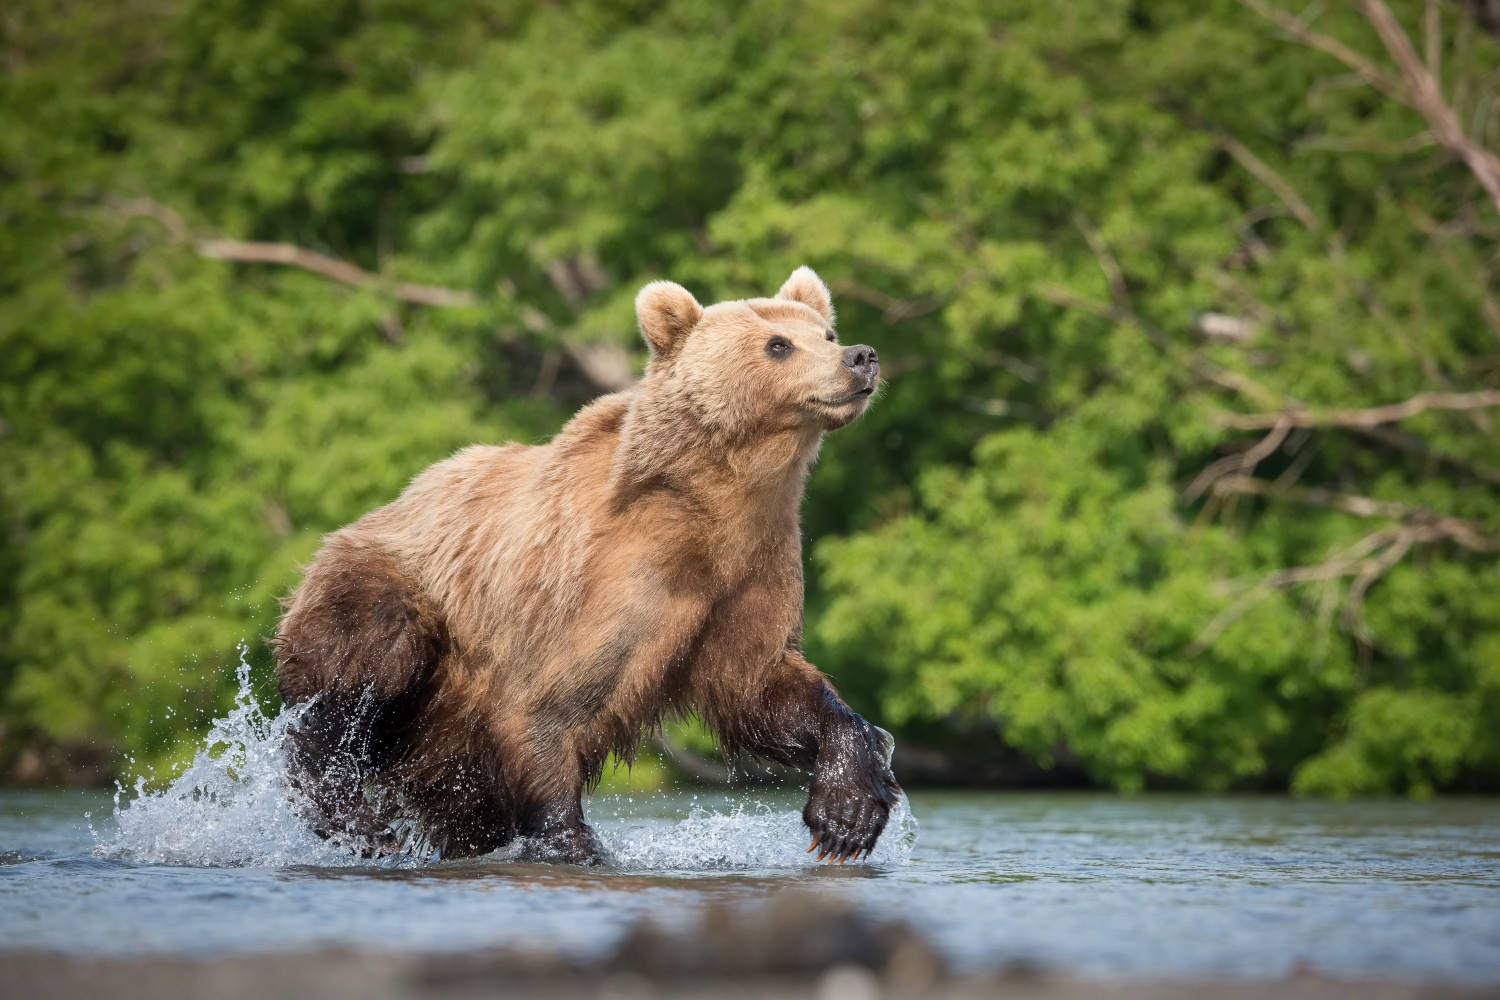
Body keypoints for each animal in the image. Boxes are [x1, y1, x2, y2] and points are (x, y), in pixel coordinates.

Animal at [271, 268, 900, 869]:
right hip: (392, 587)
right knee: (364, 666)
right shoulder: (593, 585)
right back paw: (357, 818)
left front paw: (847, 816)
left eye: (826, 333)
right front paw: (573, 844)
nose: (861, 355)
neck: (711, 509)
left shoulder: (751, 572)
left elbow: (763, 686)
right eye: (777, 344)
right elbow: (545, 710)